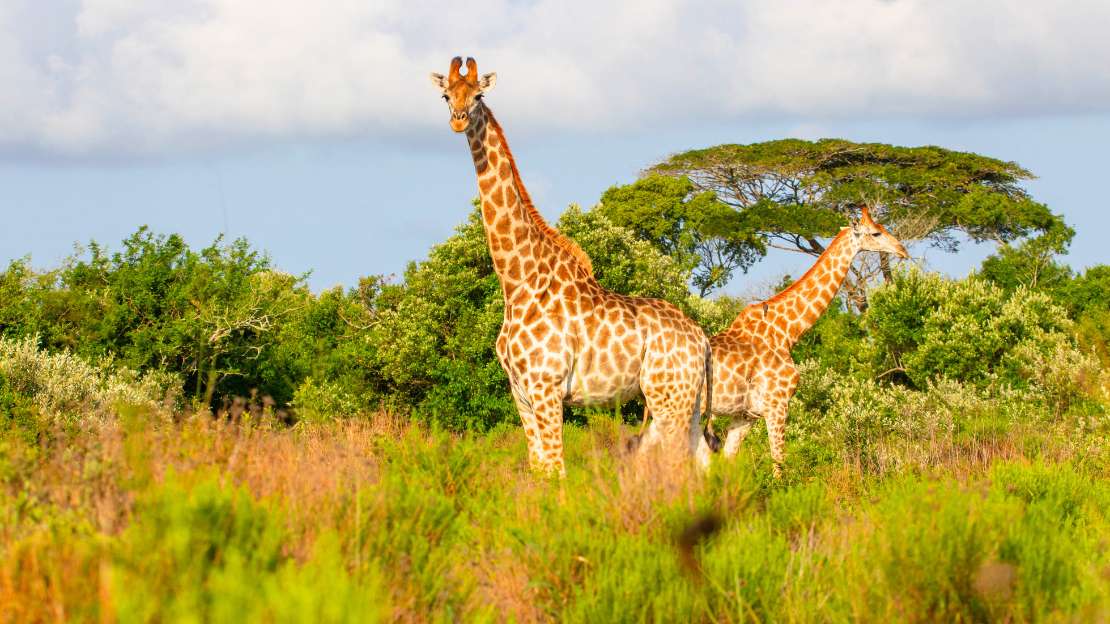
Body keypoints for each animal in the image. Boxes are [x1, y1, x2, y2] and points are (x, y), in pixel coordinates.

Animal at [430, 57, 715, 474]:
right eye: (446, 95)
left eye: (479, 94)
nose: (458, 119)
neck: (516, 281)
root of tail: (703, 339)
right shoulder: (520, 393)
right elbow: (539, 468)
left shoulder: (546, 388)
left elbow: (556, 470)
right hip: (688, 401)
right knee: (706, 463)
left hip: (668, 399)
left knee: (679, 467)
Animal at [706, 206, 908, 477]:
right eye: (876, 233)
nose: (902, 250)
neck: (787, 331)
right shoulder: (776, 405)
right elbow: (779, 463)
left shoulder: (746, 414)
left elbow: (728, 464)